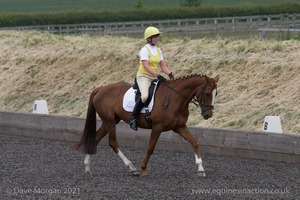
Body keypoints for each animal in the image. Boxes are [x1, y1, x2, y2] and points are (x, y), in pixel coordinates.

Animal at [74, 74, 220, 177]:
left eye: (216, 94)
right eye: (207, 93)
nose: (208, 115)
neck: (175, 98)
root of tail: (101, 88)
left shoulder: (179, 127)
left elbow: (194, 142)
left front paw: (201, 169)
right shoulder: (157, 127)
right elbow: (150, 148)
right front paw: (143, 168)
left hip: (110, 121)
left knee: (96, 138)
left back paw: (87, 167)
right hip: (109, 121)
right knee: (113, 143)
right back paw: (131, 167)